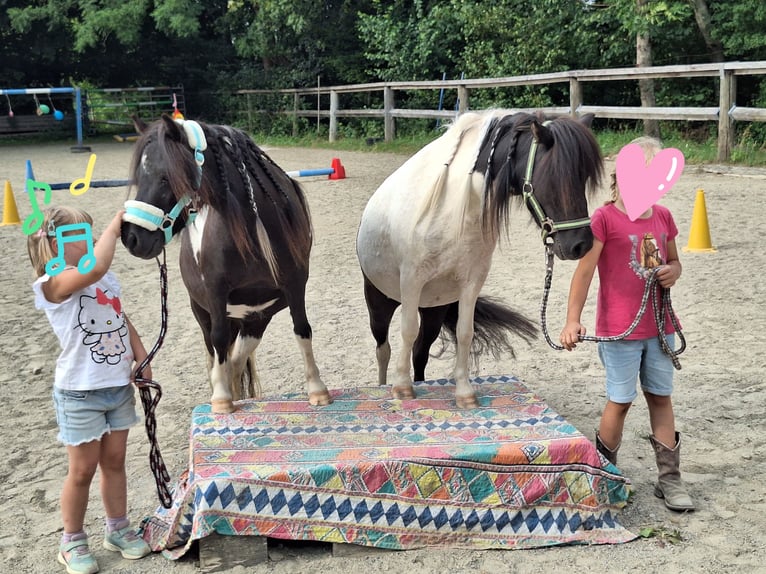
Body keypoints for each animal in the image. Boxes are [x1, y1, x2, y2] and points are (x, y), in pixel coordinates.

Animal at [121, 114, 331, 413]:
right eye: (139, 177)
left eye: (166, 177)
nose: (131, 237)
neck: (254, 226)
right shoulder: (216, 293)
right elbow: (219, 340)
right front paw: (221, 399)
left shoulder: (295, 283)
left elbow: (302, 329)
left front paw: (317, 390)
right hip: (203, 313)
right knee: (218, 355)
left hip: (256, 320)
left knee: (235, 362)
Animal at [356, 110, 603, 408]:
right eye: (553, 175)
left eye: (584, 177)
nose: (581, 245)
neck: (455, 207)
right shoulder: (412, 281)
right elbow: (406, 330)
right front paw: (401, 388)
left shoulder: (470, 284)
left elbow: (465, 332)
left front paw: (464, 393)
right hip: (380, 301)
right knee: (384, 347)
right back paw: (385, 384)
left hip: (434, 309)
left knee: (420, 351)